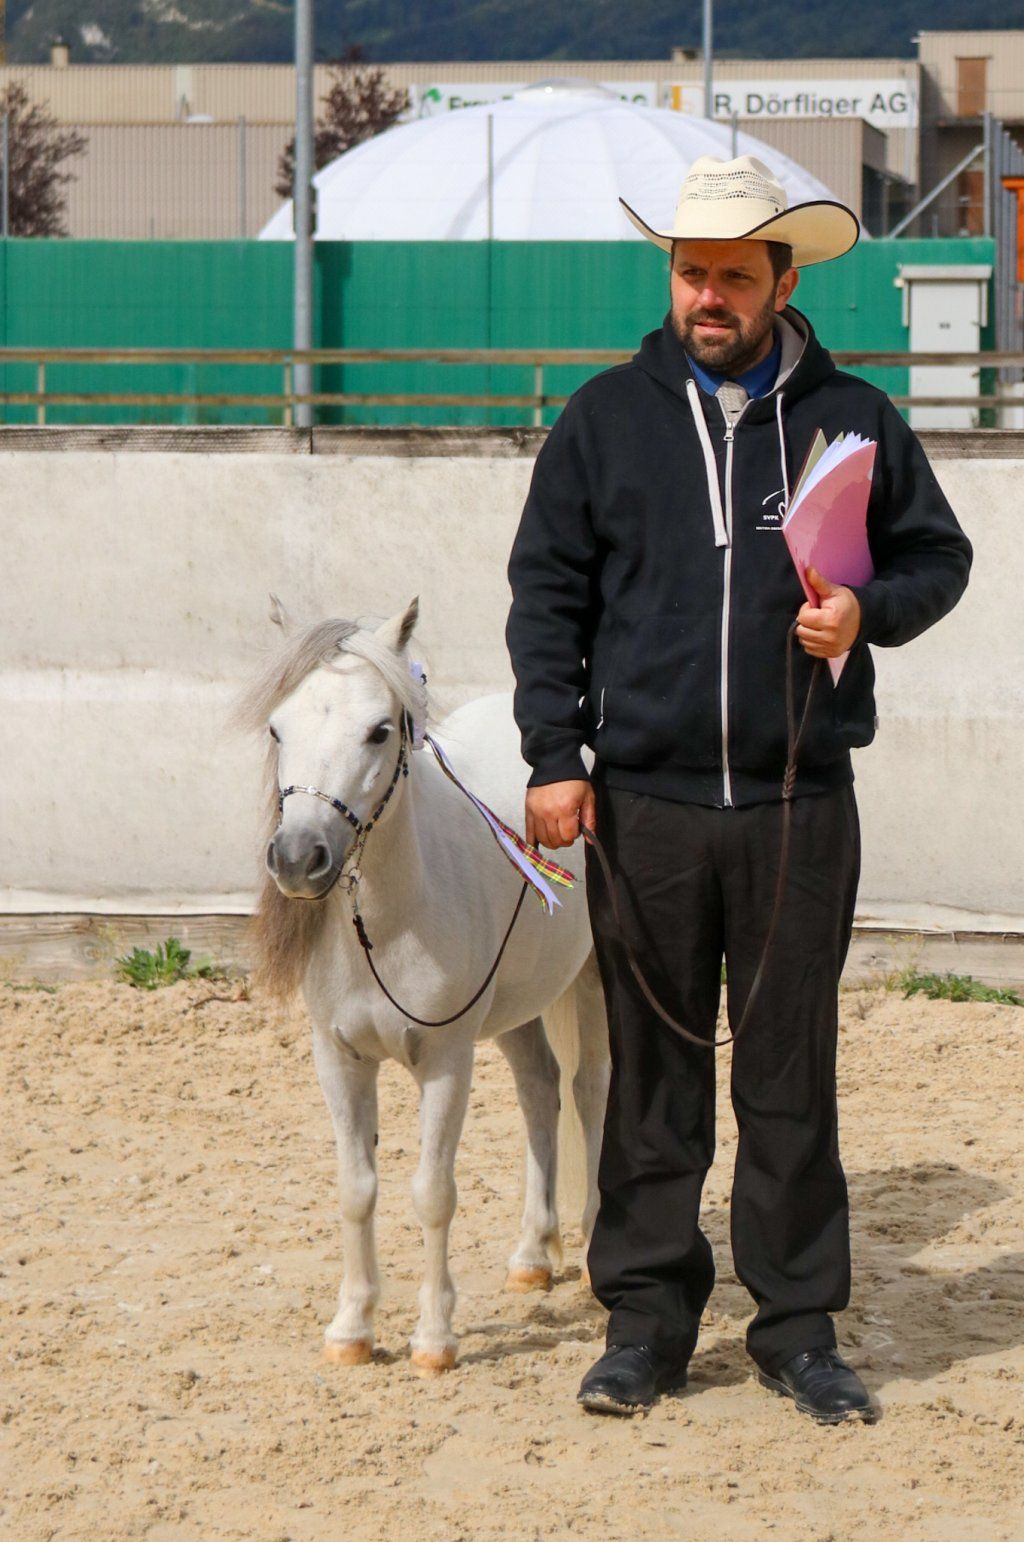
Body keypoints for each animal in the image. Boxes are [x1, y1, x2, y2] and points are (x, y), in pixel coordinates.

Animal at [242, 592, 607, 1375]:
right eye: (277, 727)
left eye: (380, 731)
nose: (299, 858)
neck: (387, 923)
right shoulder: (339, 1060)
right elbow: (357, 1190)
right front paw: (351, 1329)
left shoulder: (446, 1059)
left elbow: (433, 1192)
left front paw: (434, 1340)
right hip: (516, 1007)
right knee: (540, 1089)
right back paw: (533, 1255)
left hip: (593, 980)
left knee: (590, 1091)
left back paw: (597, 1251)